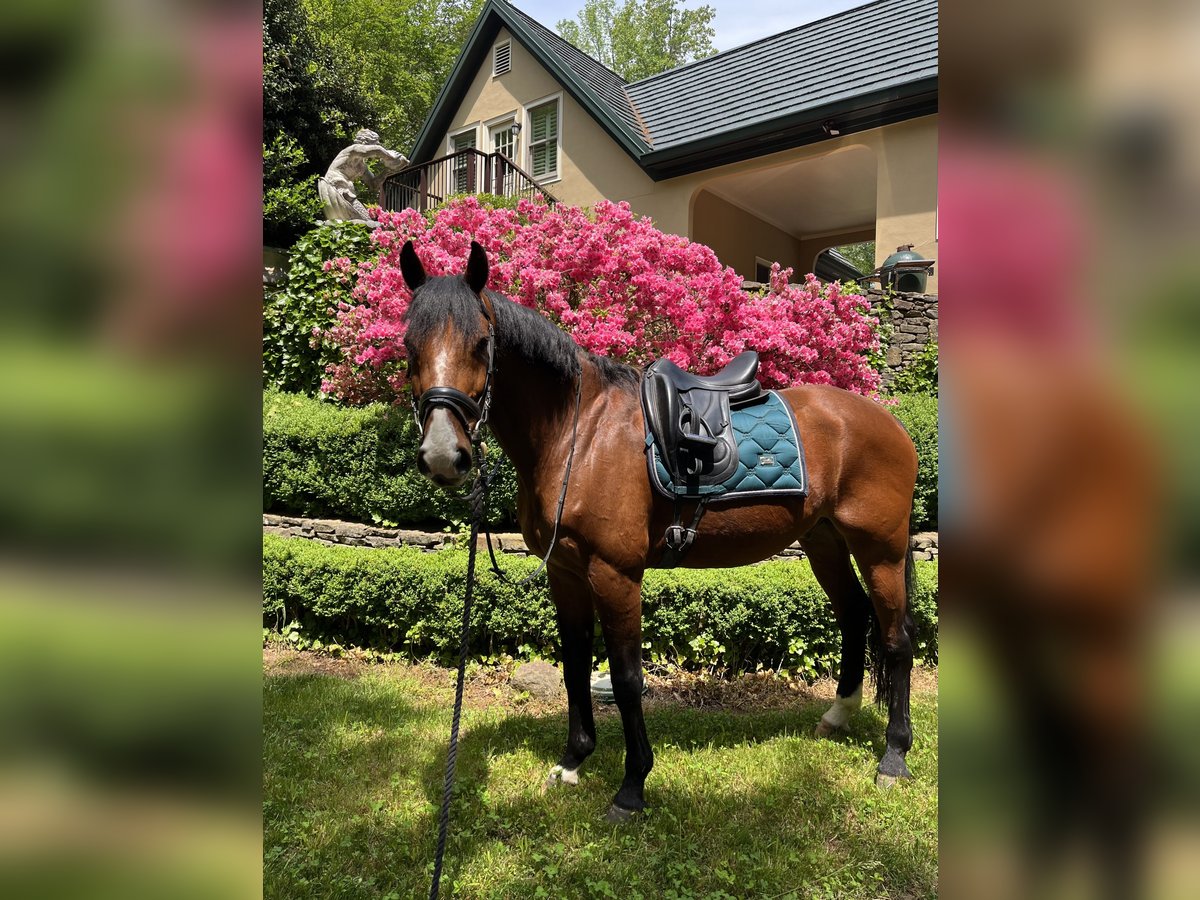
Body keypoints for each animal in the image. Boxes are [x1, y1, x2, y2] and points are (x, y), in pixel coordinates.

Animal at [400, 240, 919, 821]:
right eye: (408, 345)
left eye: (482, 343)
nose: (443, 455)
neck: (580, 434)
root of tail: (889, 422)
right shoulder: (565, 573)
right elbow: (574, 664)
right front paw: (574, 760)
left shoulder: (615, 574)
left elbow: (627, 679)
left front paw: (631, 787)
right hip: (824, 540)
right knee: (853, 615)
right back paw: (838, 716)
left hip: (880, 549)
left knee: (897, 639)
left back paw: (893, 757)